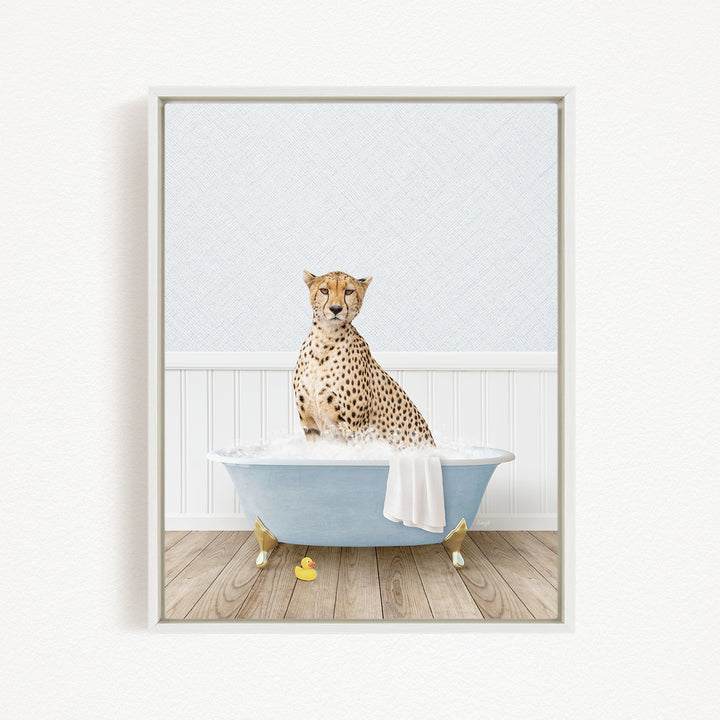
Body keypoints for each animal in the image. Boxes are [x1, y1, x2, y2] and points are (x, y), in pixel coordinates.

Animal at [293, 270, 435, 449]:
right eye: (324, 290)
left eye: (349, 291)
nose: (335, 309)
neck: (325, 339)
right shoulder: (310, 425)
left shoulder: (355, 430)